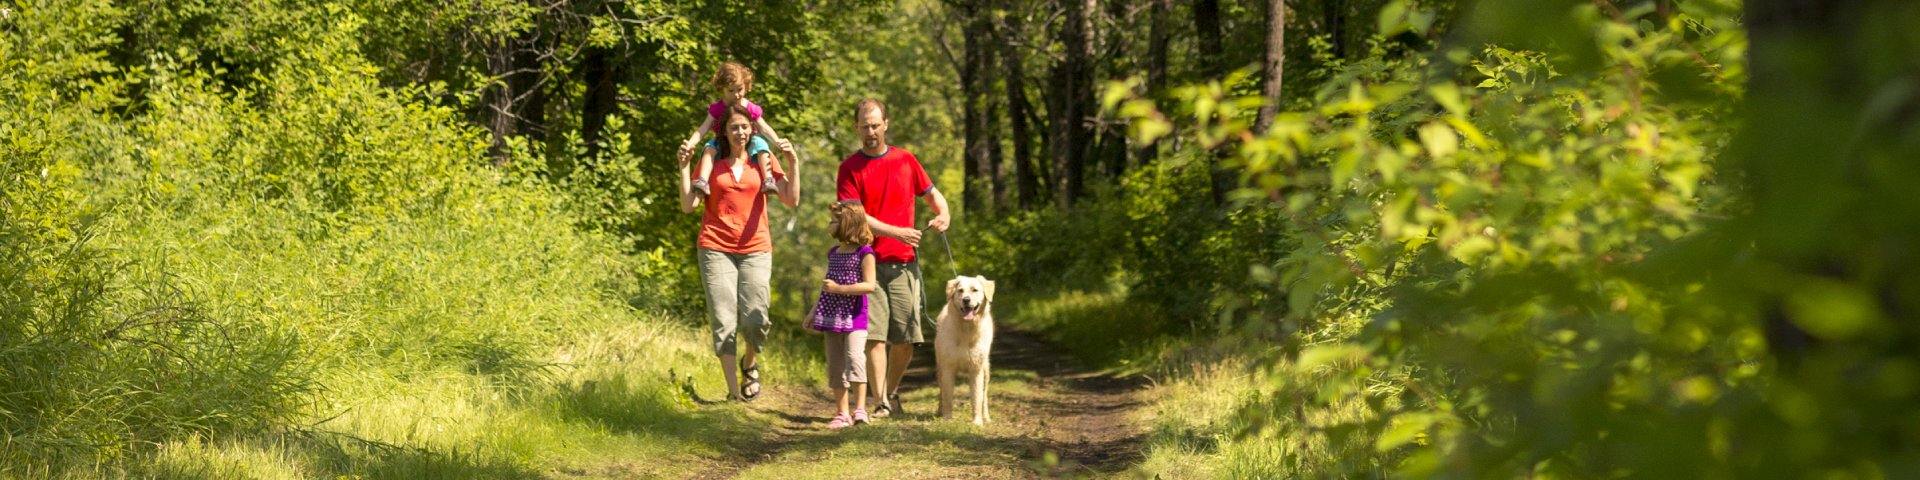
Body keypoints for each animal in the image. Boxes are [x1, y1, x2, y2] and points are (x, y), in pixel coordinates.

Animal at [936, 274, 998, 424]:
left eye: (975, 290)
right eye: (960, 291)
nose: (966, 300)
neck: (966, 330)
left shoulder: (976, 369)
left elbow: (977, 398)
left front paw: (977, 422)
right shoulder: (948, 367)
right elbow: (947, 396)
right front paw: (947, 419)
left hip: (986, 370)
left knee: (984, 396)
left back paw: (986, 417)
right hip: (939, 368)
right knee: (941, 392)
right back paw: (940, 411)